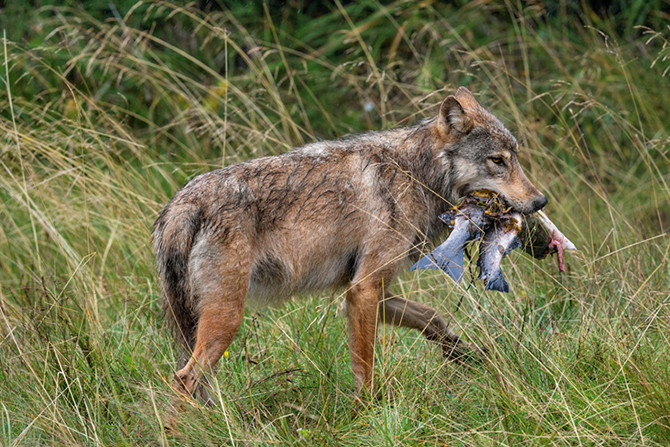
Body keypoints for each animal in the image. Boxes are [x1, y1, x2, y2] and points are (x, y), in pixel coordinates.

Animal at [154, 86, 552, 400]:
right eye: (498, 161)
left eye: (515, 159)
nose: (540, 201)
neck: (417, 173)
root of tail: (183, 203)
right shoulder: (364, 290)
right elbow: (365, 367)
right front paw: (368, 412)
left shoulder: (368, 288)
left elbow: (433, 318)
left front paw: (465, 354)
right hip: (227, 319)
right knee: (184, 380)